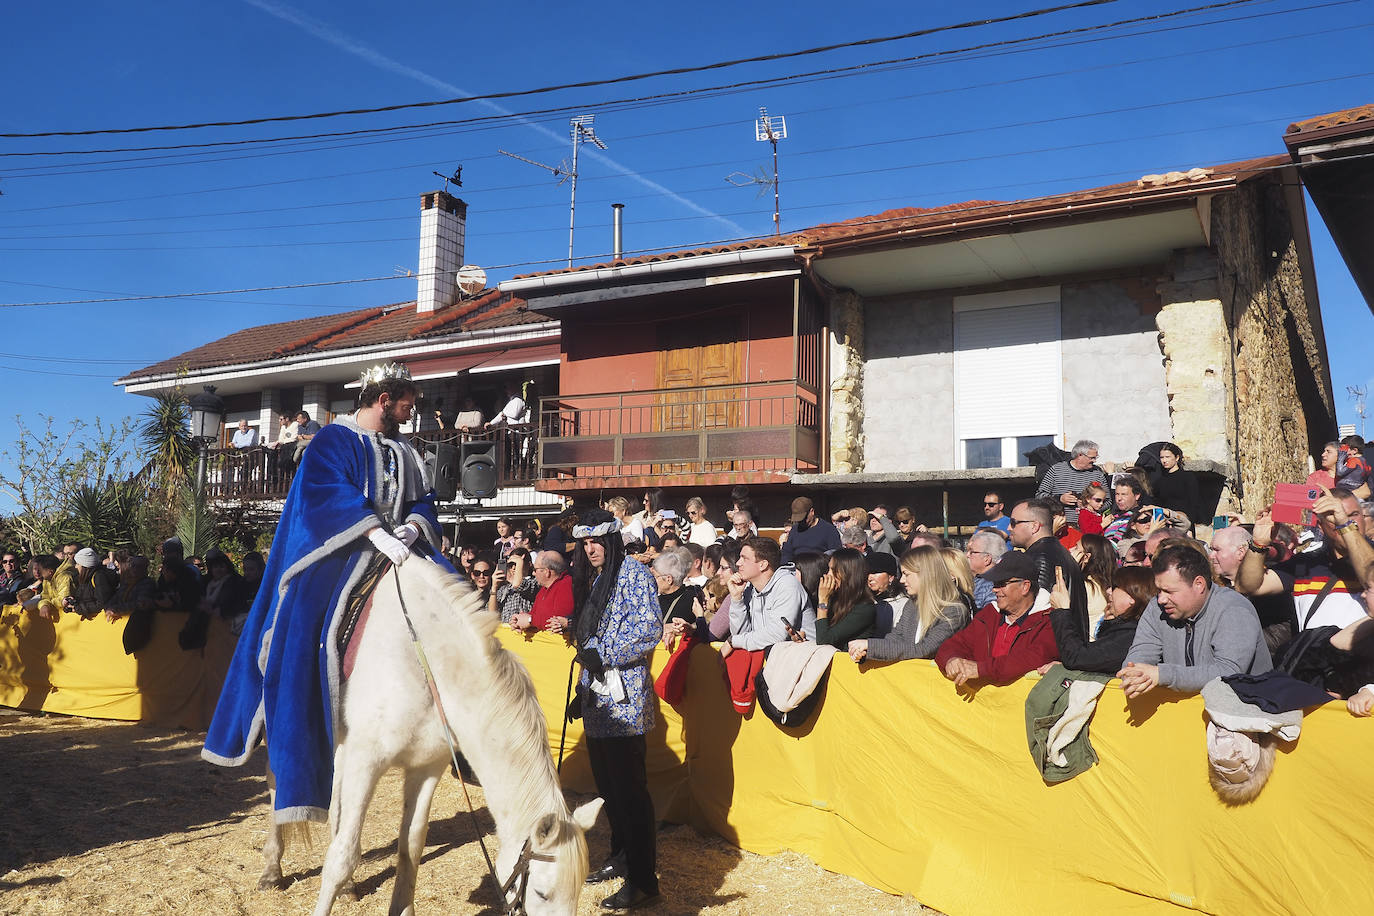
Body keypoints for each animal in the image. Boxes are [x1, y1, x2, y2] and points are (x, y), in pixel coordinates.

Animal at [258, 554, 601, 916]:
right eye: (541, 892)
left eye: (578, 890)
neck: (427, 663)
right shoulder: (366, 760)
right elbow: (343, 856)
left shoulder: (426, 767)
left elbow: (411, 844)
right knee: (276, 781)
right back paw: (272, 870)